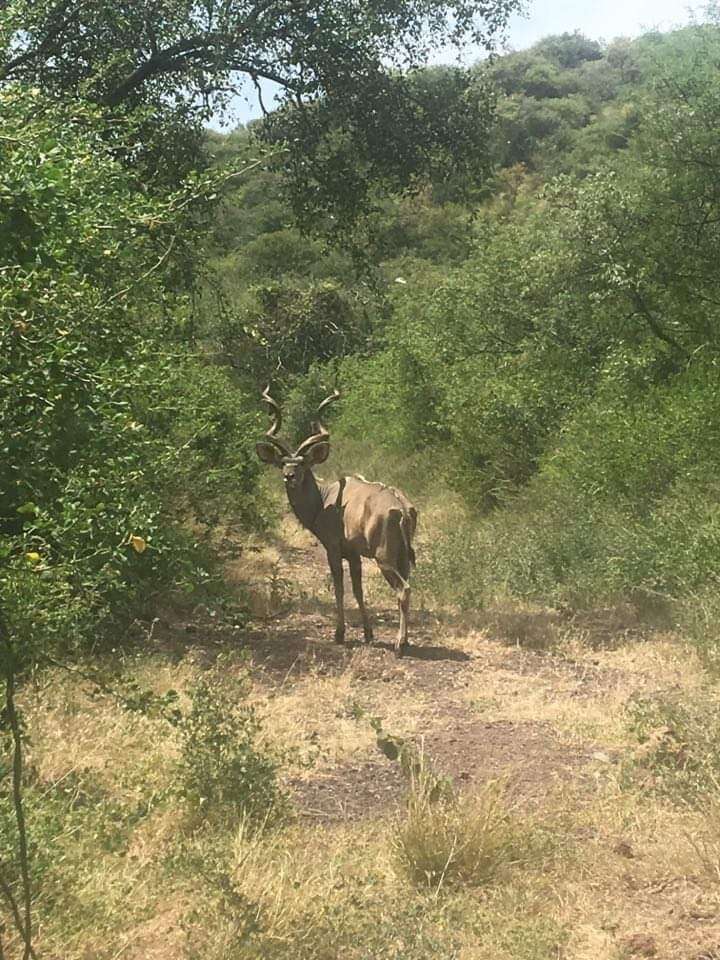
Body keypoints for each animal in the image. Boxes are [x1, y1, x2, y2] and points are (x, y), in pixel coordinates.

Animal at [258, 386, 416, 656]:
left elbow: (340, 587)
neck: (324, 500)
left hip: (384, 557)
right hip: (402, 557)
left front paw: (340, 634)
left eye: (302, 464)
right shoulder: (354, 554)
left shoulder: (333, 548)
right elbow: (358, 590)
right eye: (282, 463)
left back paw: (400, 644)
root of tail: (403, 509)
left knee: (403, 589)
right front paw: (368, 633)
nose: (289, 476)